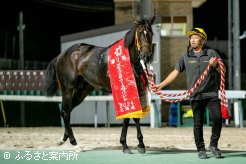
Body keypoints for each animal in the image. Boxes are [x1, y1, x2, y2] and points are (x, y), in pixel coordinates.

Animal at [45, 16, 155, 153]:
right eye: (139, 33)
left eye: (151, 33)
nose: (146, 56)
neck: (128, 61)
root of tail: (61, 55)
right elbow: (129, 116)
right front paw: (128, 144)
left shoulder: (136, 90)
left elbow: (133, 117)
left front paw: (138, 144)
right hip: (67, 89)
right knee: (65, 112)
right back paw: (75, 143)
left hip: (83, 90)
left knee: (67, 110)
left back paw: (63, 138)